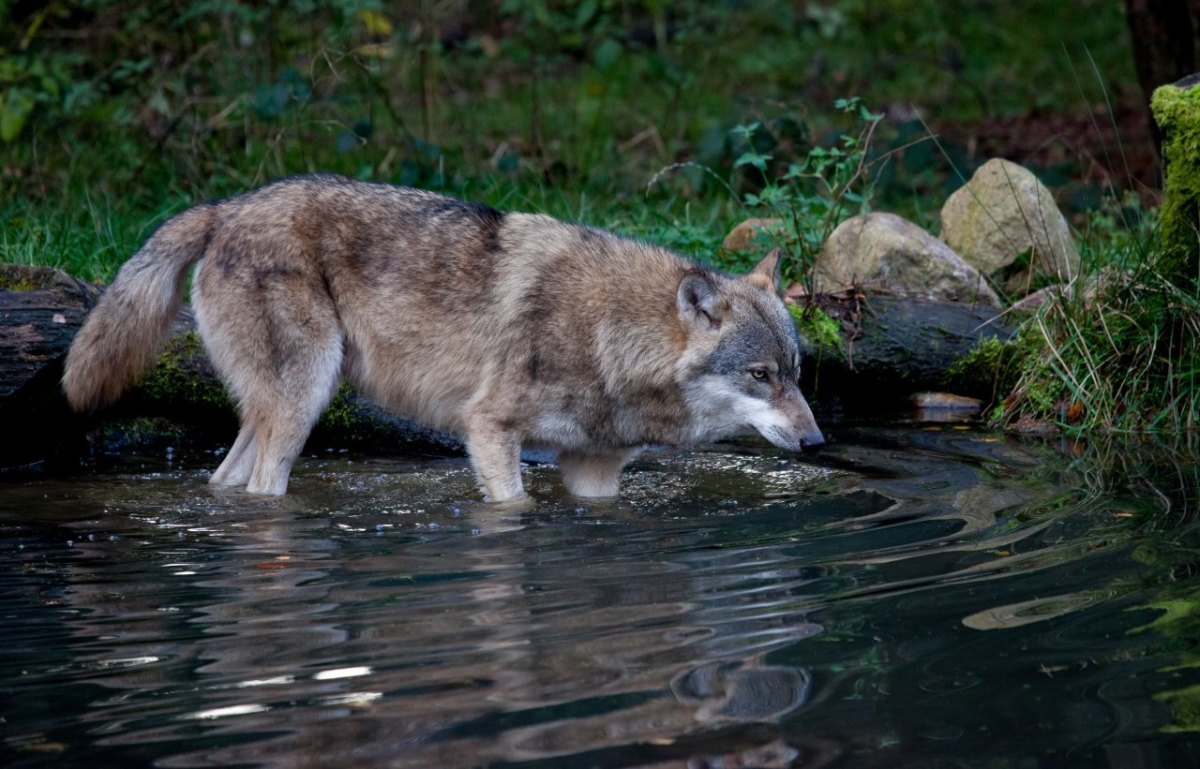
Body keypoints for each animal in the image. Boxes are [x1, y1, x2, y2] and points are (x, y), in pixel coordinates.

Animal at [58, 173, 825, 499]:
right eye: (760, 376)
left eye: (796, 372)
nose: (819, 441)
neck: (613, 336)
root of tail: (226, 206)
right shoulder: (487, 428)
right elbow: (511, 505)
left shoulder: (594, 469)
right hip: (303, 402)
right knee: (260, 489)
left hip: (283, 405)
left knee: (224, 481)